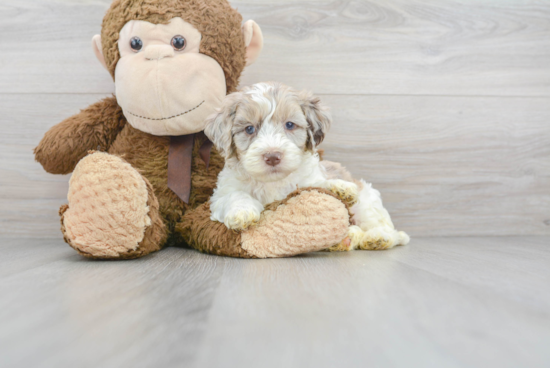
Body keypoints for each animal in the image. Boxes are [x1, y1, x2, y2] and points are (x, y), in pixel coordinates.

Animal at [205, 82, 412, 252]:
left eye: (290, 125)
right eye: (249, 129)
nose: (272, 156)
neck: (273, 182)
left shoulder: (311, 179)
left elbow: (319, 184)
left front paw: (341, 187)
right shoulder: (222, 192)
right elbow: (235, 195)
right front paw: (242, 212)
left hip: (367, 203)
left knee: (385, 228)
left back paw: (378, 238)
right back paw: (346, 240)